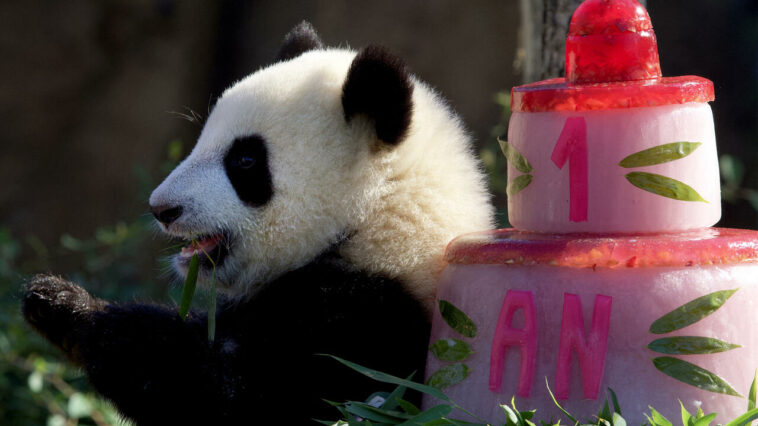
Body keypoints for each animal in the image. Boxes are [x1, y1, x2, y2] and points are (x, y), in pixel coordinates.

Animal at [22, 24, 492, 426]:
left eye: (245, 160)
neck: (377, 225)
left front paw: (70, 306)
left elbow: (236, 397)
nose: (162, 208)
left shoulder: (369, 326)